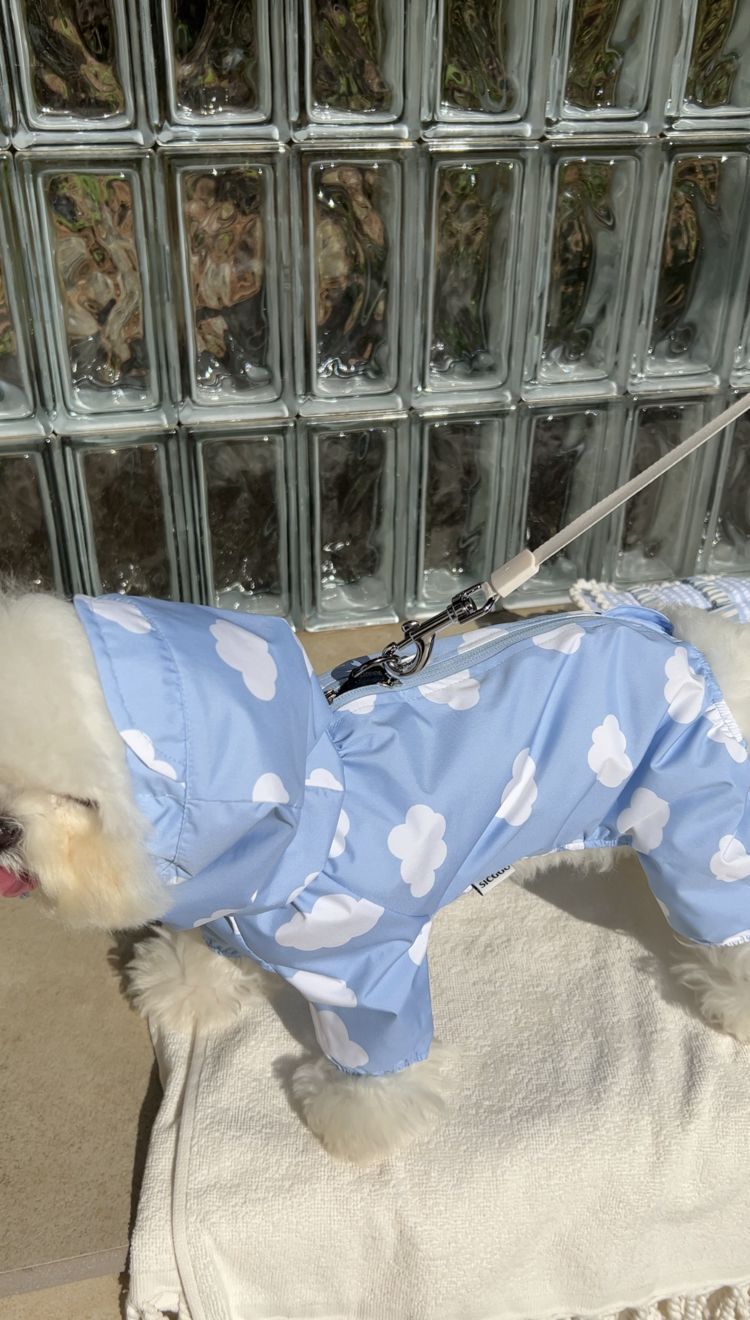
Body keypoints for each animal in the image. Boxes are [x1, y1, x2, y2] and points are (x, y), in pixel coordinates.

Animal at [1, 585, 750, 1166]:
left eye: (81, 801)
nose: (3, 826)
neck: (309, 819)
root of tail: (696, 647)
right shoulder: (228, 905)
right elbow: (206, 949)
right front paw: (183, 980)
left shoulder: (371, 966)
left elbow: (379, 1054)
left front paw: (357, 1120)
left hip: (701, 828)